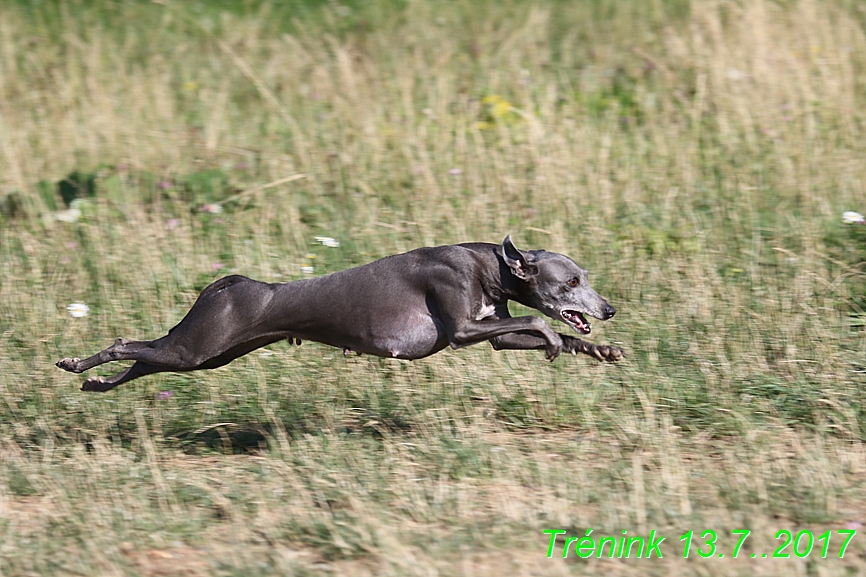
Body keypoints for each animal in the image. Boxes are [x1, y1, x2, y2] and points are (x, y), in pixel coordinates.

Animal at [55, 235, 620, 392]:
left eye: (584, 276)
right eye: (571, 282)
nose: (610, 309)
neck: (488, 265)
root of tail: (231, 284)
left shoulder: (493, 333)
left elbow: (539, 332)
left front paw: (600, 349)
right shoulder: (462, 329)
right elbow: (539, 321)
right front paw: (556, 341)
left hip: (208, 354)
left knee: (142, 359)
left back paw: (95, 384)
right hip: (198, 347)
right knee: (126, 345)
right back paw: (76, 364)